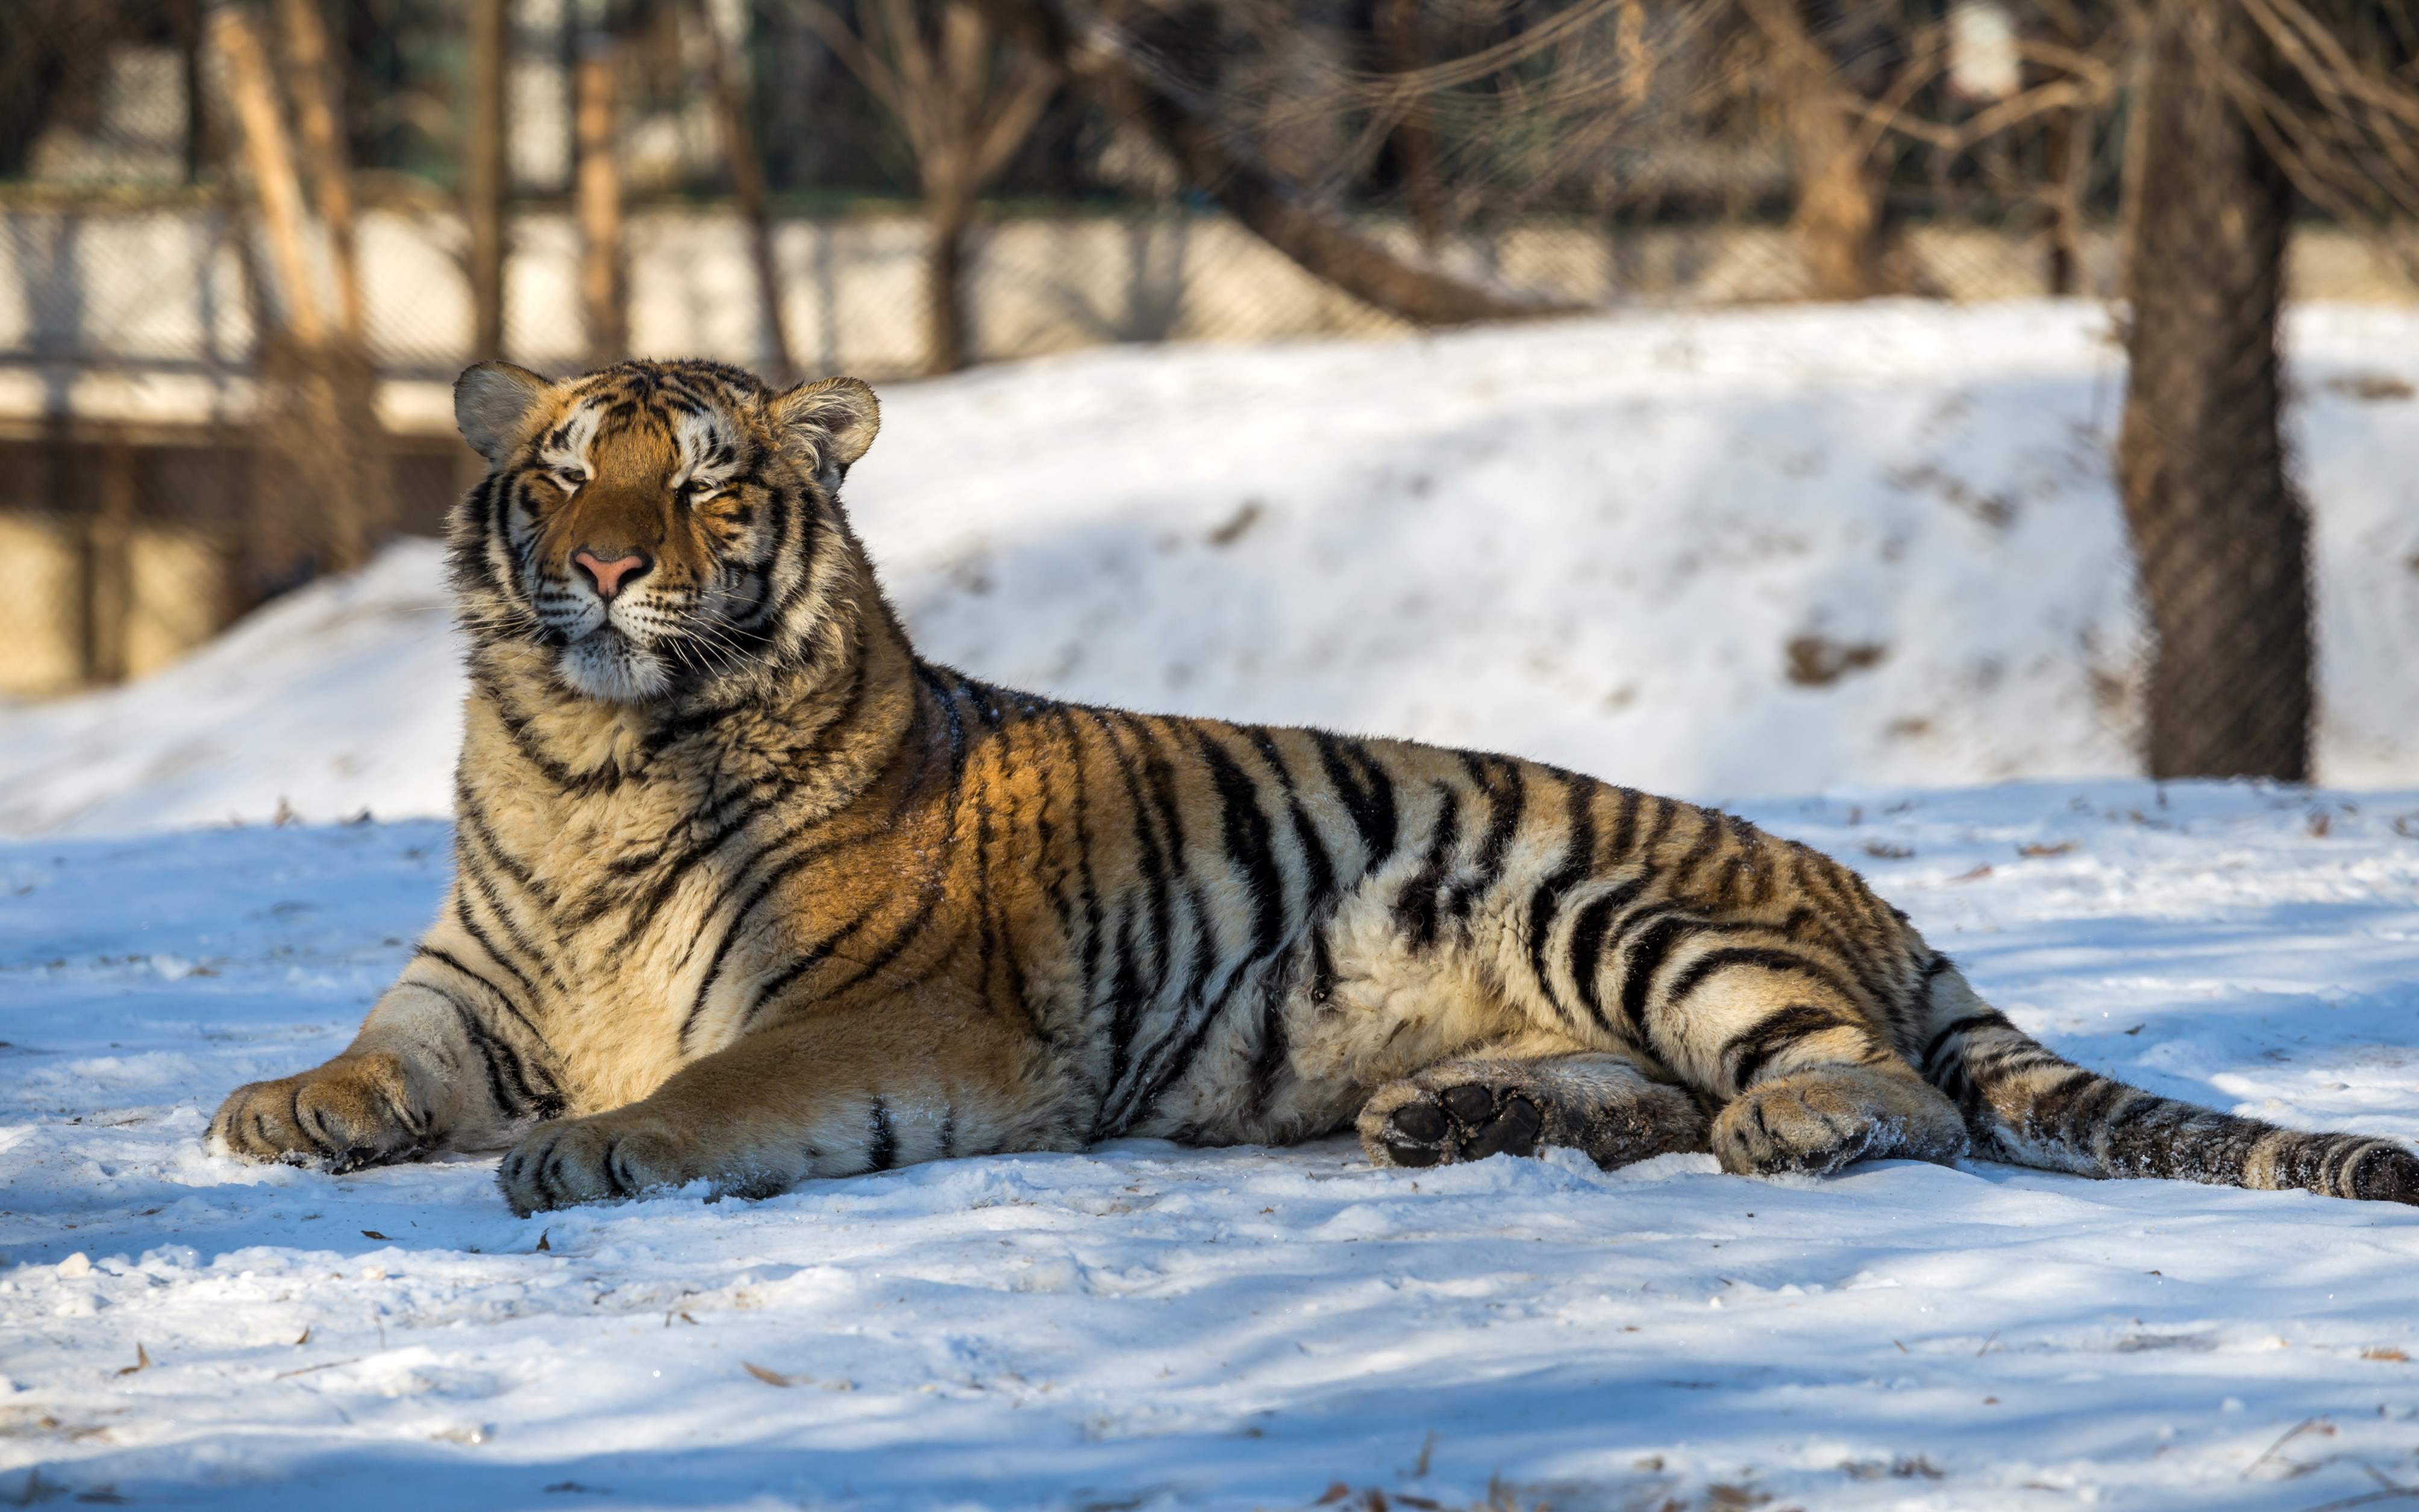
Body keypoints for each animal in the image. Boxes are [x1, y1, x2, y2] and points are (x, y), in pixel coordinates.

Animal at [213, 355, 2418, 1214]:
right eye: (565, 467)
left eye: (702, 480)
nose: (599, 567)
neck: (596, 758)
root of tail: (1848, 881)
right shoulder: (478, 978)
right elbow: (384, 1044)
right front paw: (279, 1102)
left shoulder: (869, 1008)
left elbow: (711, 1088)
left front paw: (595, 1147)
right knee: (1636, 1096)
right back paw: (1453, 1115)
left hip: (1621, 906)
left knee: (1874, 1087)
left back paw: (1782, 1126)